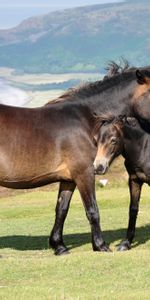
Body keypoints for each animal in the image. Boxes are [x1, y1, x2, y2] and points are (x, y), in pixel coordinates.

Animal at [94, 115, 150, 251]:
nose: (98, 167)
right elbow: (133, 209)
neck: (144, 149)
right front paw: (126, 243)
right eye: (96, 140)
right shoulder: (134, 180)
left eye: (113, 140)